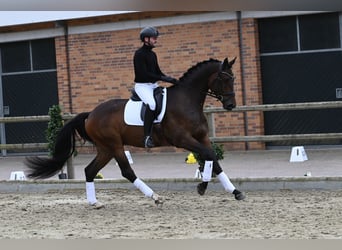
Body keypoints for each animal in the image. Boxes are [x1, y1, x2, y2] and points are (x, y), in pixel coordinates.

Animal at [25, 57, 246, 208]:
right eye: (223, 78)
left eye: (234, 78)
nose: (230, 105)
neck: (187, 100)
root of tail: (91, 114)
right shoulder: (182, 139)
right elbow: (208, 156)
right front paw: (202, 187)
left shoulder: (202, 137)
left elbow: (214, 159)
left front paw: (235, 191)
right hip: (115, 145)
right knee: (126, 171)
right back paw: (155, 197)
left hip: (105, 148)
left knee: (90, 171)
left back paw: (95, 203)